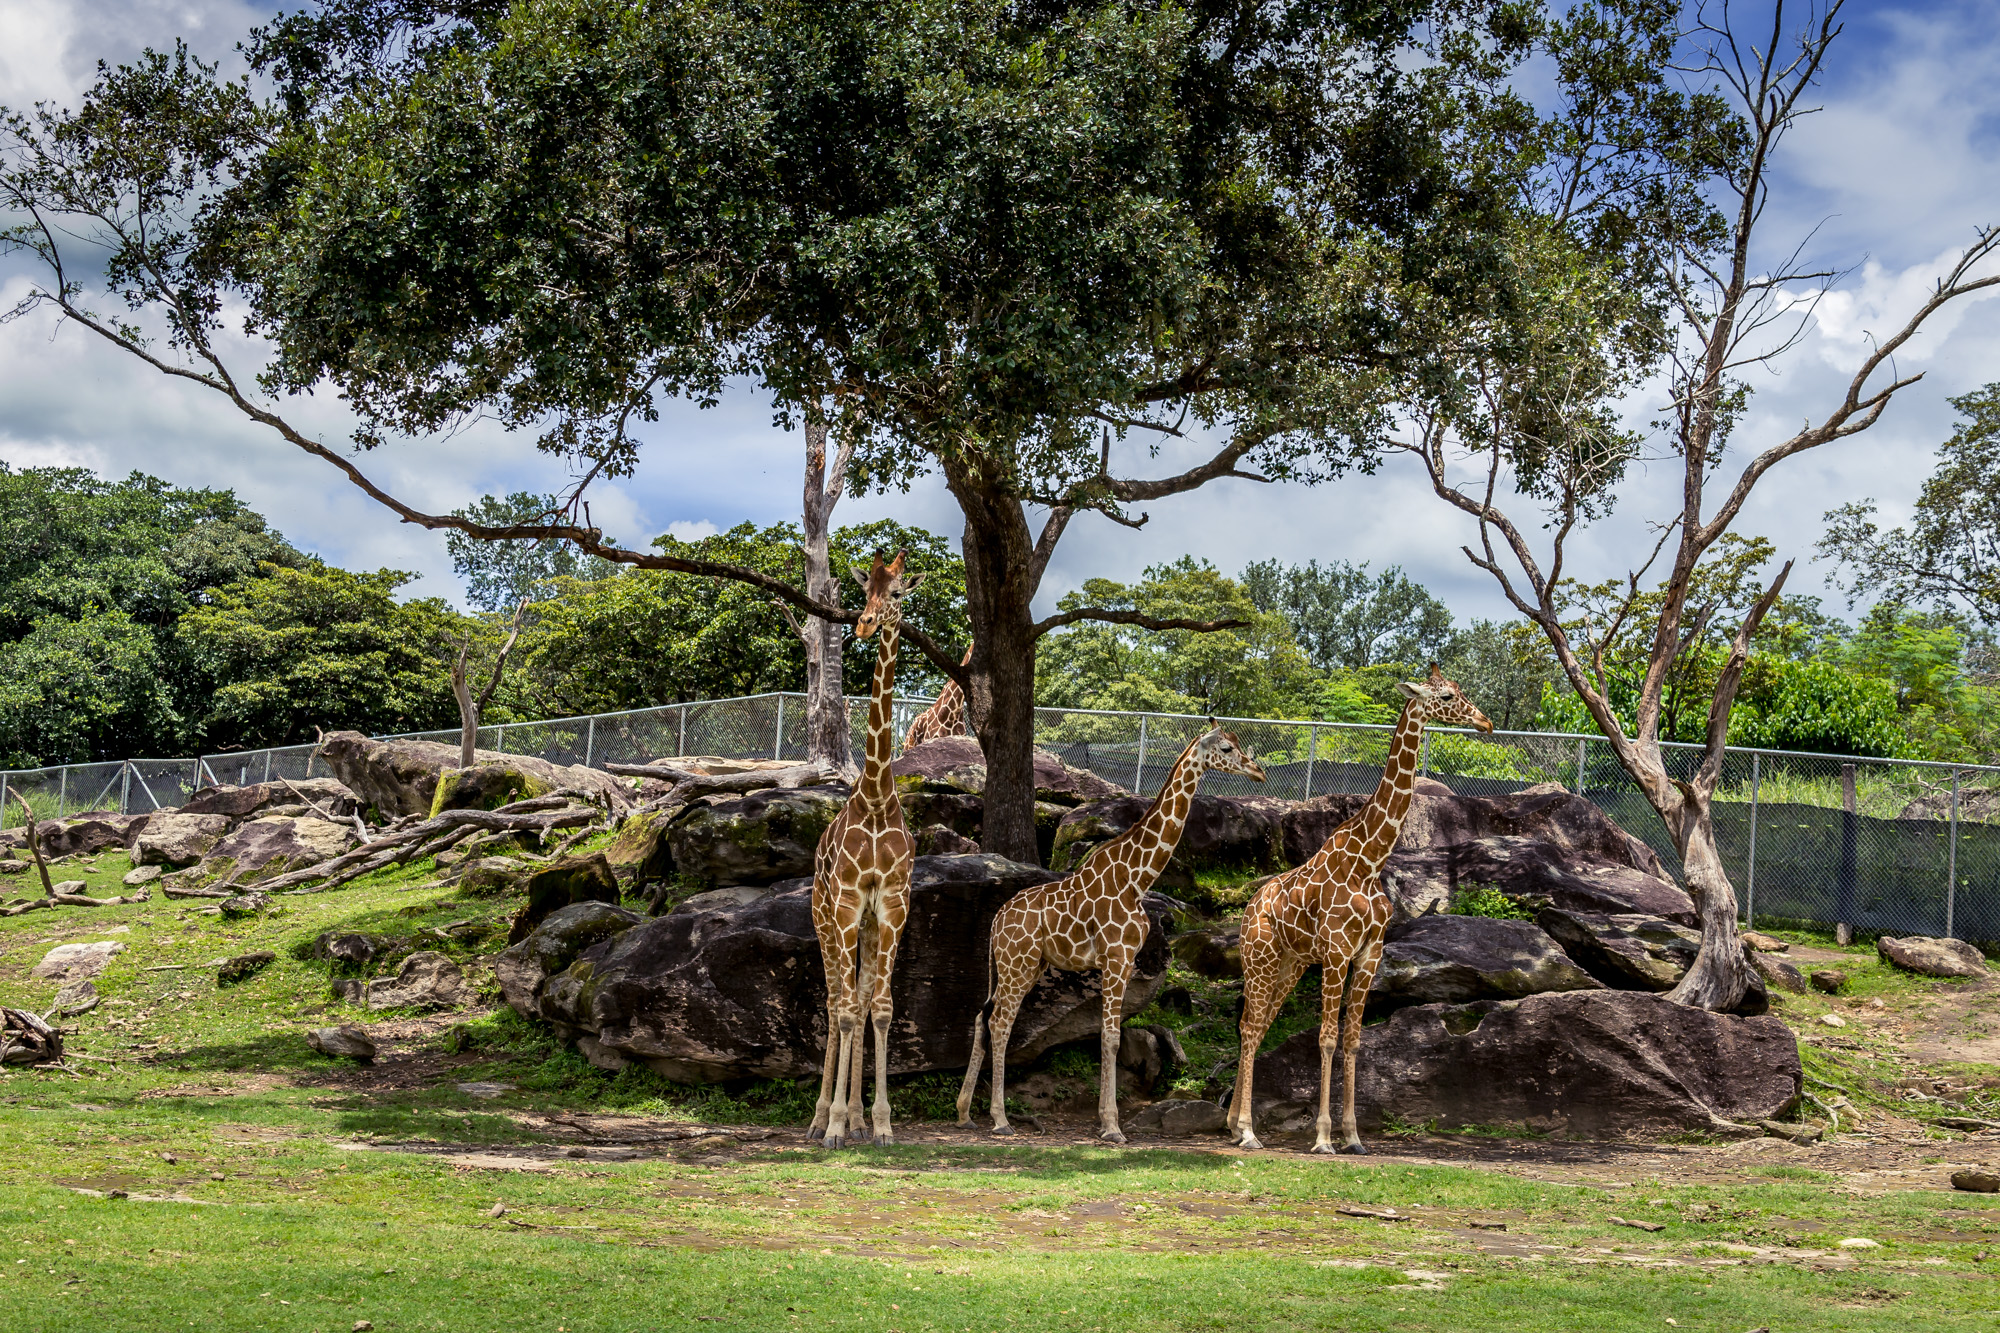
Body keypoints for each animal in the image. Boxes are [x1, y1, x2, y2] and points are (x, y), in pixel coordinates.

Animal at [957, 723, 1267, 1142]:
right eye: (1226, 748)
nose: (1258, 772)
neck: (1137, 879)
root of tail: (995, 921)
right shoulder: (1116, 958)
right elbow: (1111, 1037)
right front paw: (1111, 1126)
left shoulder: (1122, 960)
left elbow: (1111, 1036)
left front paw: (1107, 1122)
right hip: (1017, 963)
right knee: (1000, 1022)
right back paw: (1000, 1119)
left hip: (1023, 966)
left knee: (983, 1016)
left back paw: (964, 1114)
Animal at [1228, 665, 1492, 1155]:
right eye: (1447, 696)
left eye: (1461, 690)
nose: (1483, 722)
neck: (1369, 861)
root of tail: (1250, 907)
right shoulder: (1336, 952)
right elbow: (1327, 1039)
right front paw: (1323, 1138)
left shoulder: (1369, 954)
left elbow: (1352, 1041)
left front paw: (1353, 1136)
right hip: (1259, 958)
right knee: (1251, 1028)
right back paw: (1250, 1132)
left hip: (1289, 965)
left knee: (1255, 1023)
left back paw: (1234, 1124)